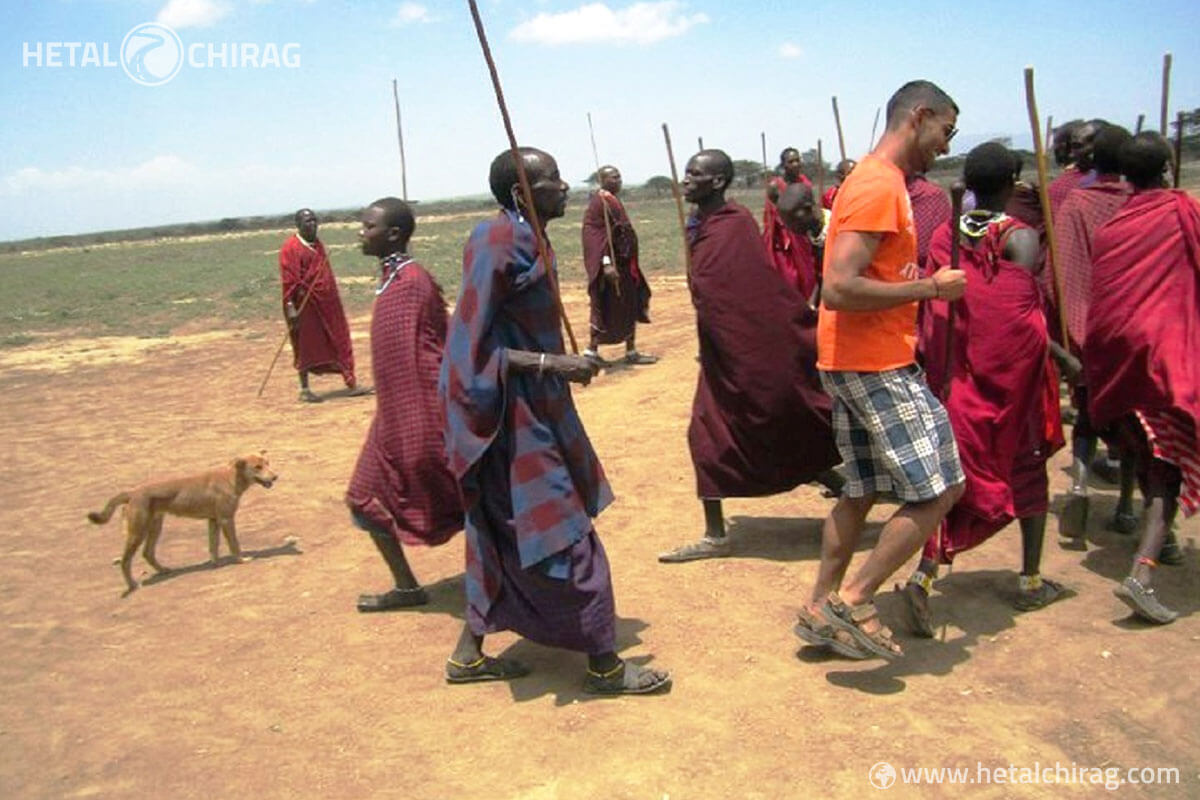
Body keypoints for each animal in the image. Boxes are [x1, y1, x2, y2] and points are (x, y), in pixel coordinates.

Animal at [87, 453, 278, 597]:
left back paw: (163, 570)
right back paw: (133, 585)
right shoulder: (226, 519)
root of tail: (132, 492)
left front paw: (215, 564)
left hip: (155, 526)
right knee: (125, 561)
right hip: (137, 532)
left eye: (267, 463)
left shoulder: (213, 520)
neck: (231, 478)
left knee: (148, 553)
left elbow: (213, 546)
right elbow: (234, 544)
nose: (276, 476)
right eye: (257, 467)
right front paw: (241, 560)